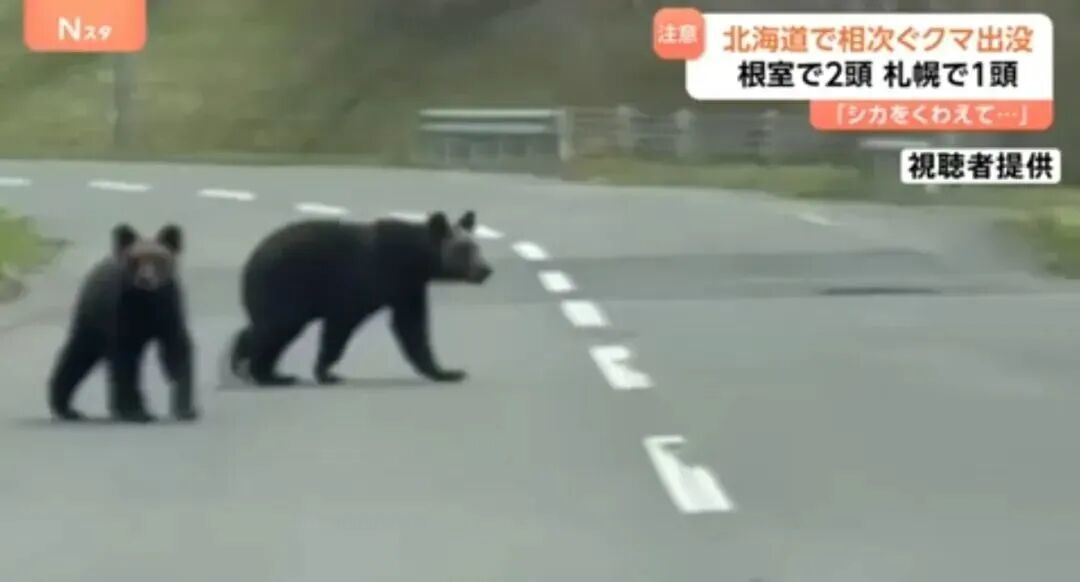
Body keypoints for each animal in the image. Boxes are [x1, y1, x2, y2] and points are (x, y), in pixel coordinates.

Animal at [47, 223, 198, 423]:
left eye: (158, 258)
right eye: (135, 259)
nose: (146, 279)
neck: (147, 302)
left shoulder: (169, 311)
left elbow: (176, 351)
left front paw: (185, 409)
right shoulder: (123, 314)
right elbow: (125, 361)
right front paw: (135, 411)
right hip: (91, 318)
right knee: (76, 355)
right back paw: (66, 407)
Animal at [229, 210, 493, 387]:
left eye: (477, 247)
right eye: (464, 250)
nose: (486, 270)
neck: (416, 260)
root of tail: (250, 261)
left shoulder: (407, 288)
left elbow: (412, 327)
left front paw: (447, 371)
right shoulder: (367, 280)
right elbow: (341, 325)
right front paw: (327, 373)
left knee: (272, 330)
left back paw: (265, 370)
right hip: (282, 286)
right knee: (276, 327)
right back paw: (257, 371)